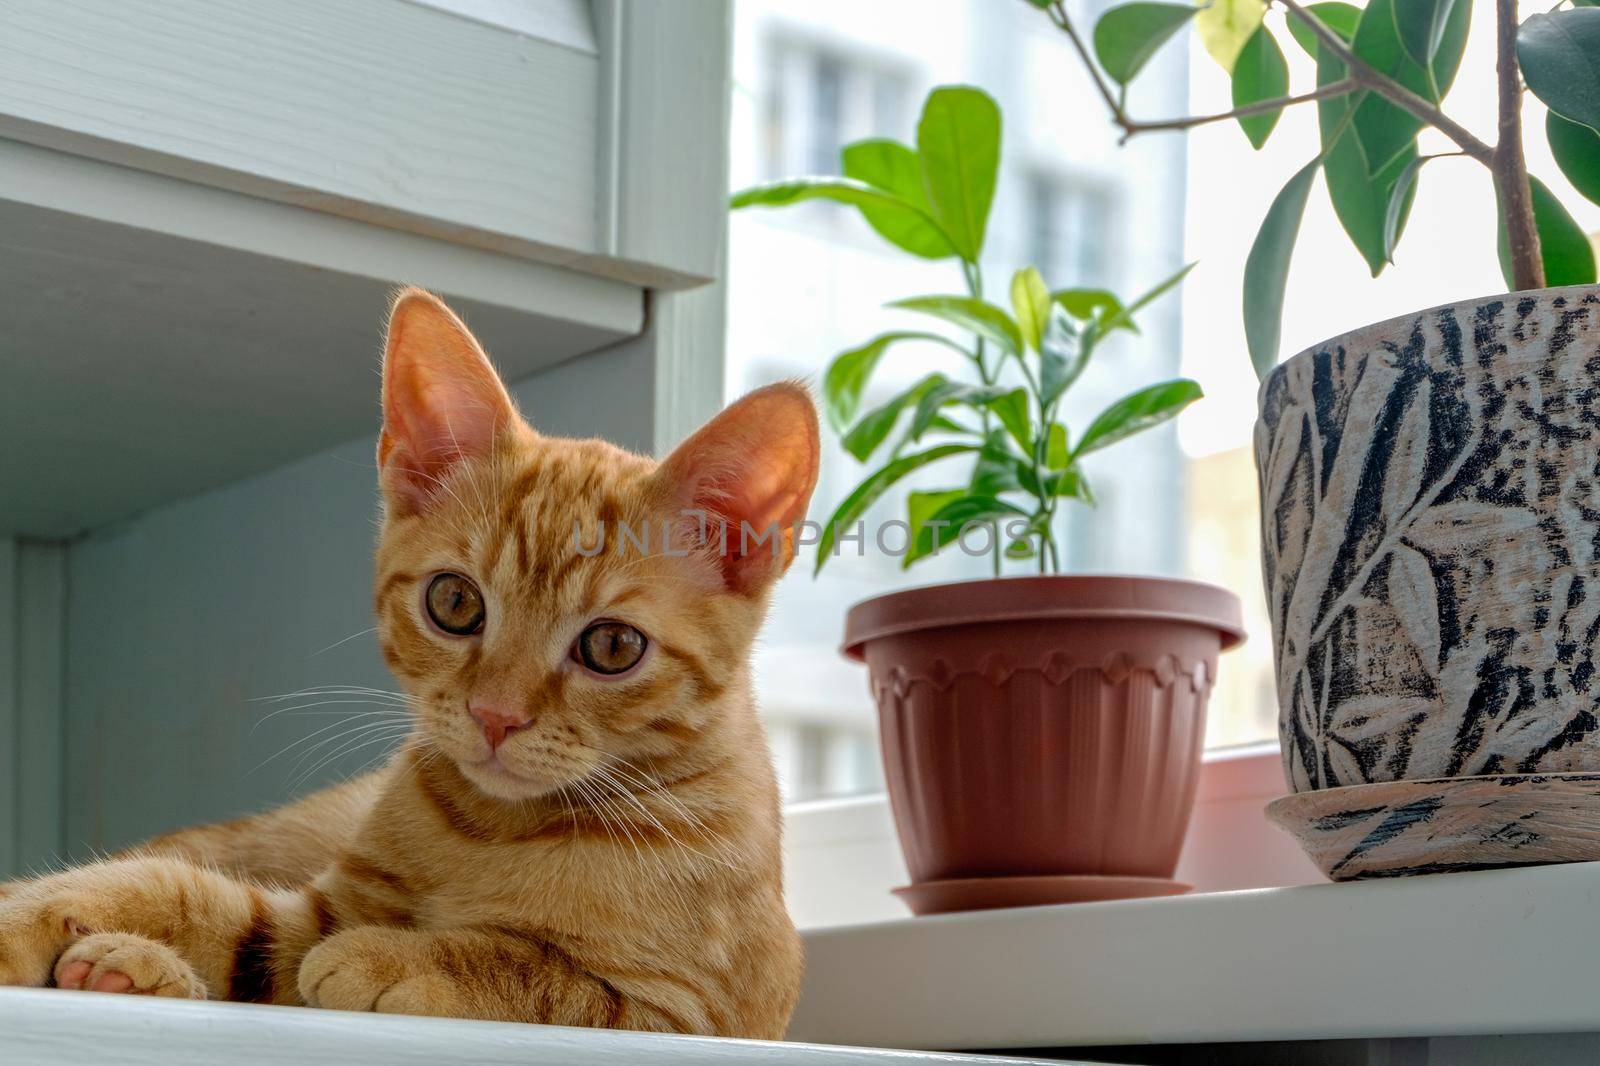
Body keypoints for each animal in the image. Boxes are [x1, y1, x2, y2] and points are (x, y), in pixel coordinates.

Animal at [0, 286, 812, 1030]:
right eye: (454, 602)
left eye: (613, 647)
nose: (495, 716)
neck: (497, 830)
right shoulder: (321, 909)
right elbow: (185, 896)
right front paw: (40, 919)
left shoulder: (685, 1012)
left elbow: (537, 972)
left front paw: (390, 955)